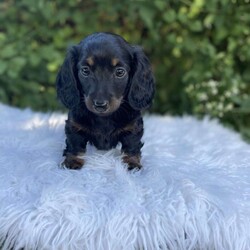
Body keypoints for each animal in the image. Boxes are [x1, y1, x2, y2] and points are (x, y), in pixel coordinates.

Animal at [56, 32, 154, 171]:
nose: (100, 105)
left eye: (120, 72)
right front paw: (72, 161)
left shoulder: (134, 127)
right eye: (85, 70)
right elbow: (74, 143)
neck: (104, 118)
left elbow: (132, 145)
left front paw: (132, 163)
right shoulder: (74, 125)